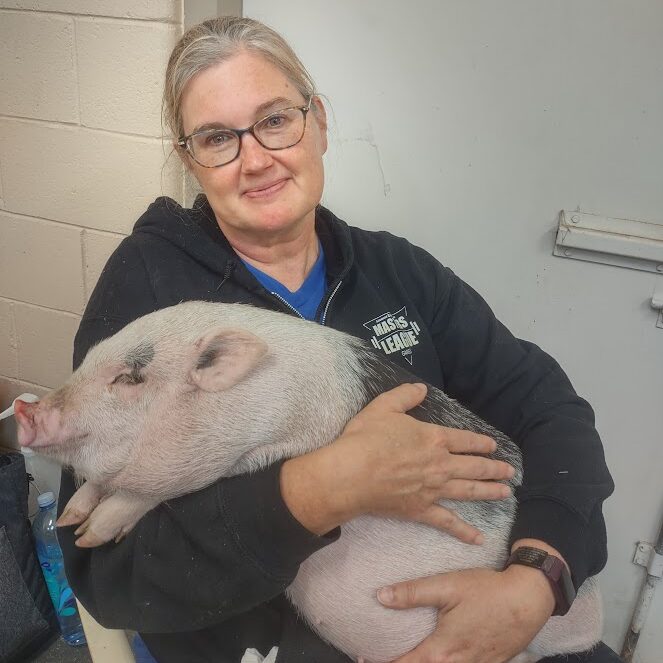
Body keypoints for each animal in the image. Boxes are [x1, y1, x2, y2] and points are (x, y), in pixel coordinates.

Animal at [13, 302, 604, 663]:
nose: (25, 411)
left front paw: (92, 530)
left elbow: (150, 488)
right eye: (89, 359)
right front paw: (74, 520)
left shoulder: (258, 446)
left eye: (130, 378)